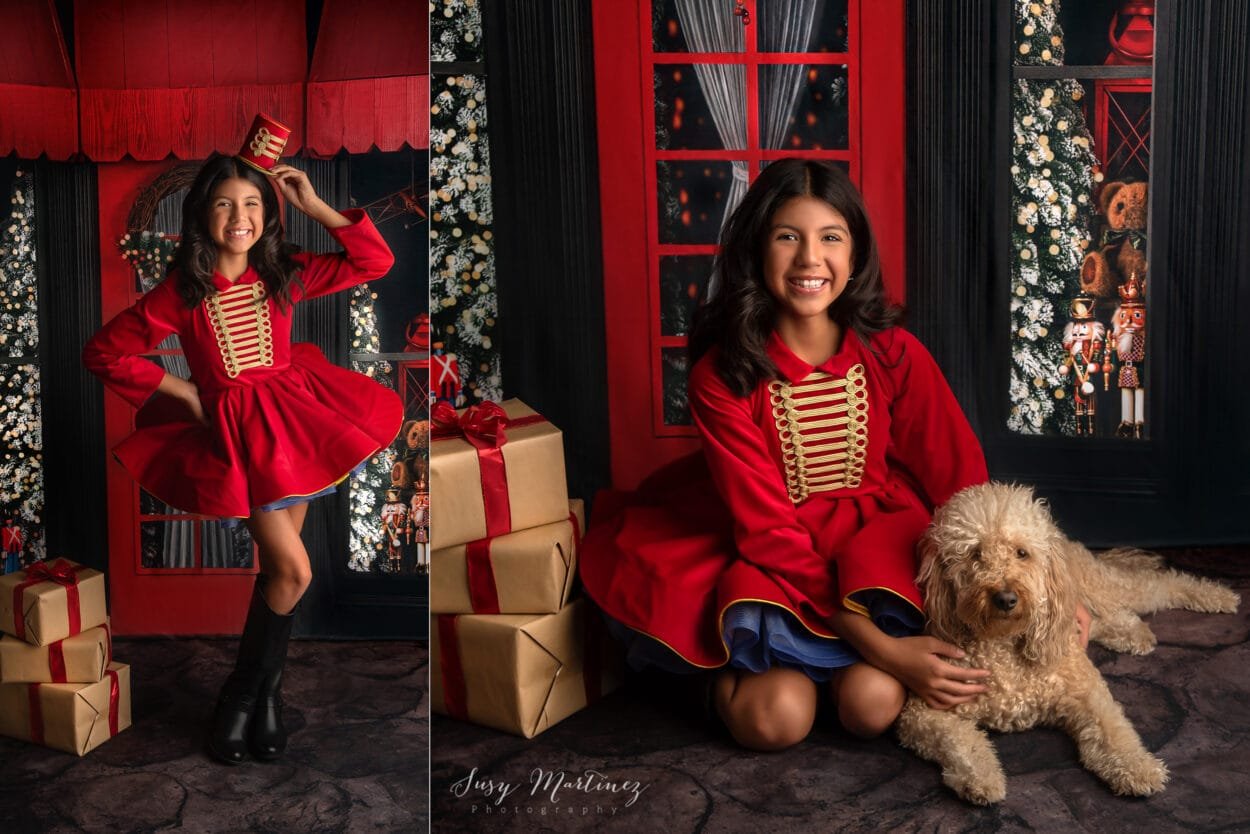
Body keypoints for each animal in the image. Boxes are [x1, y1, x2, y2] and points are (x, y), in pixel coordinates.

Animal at [895, 485, 1235, 805]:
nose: (1006, 598)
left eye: (1022, 553)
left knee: (1160, 585)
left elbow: (1113, 730)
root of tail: (1064, 539)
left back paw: (1217, 596)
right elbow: (961, 742)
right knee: (1107, 617)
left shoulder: (1086, 691)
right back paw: (1132, 632)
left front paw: (1137, 768)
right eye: (975, 553)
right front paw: (980, 777)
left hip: (1100, 587)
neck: (1004, 643)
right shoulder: (924, 711)